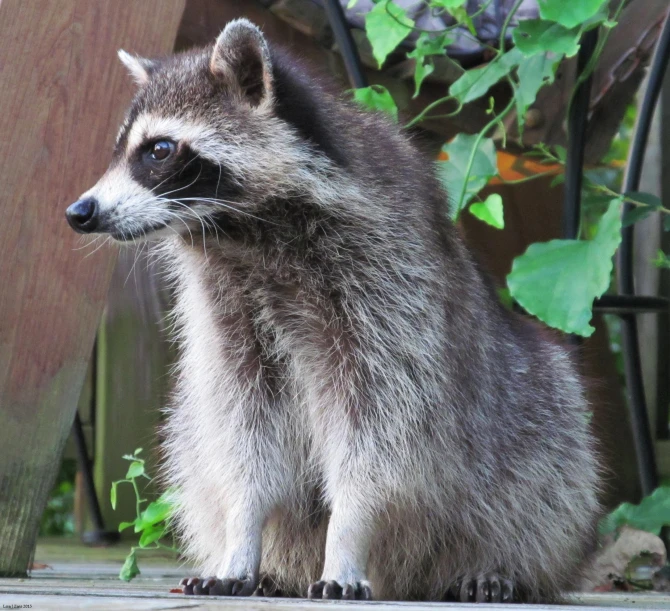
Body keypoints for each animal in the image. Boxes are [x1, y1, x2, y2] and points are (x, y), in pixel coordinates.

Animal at [67, 17, 604, 604]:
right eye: (121, 150)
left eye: (158, 150)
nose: (79, 212)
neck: (242, 231)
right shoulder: (227, 313)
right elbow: (239, 428)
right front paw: (241, 532)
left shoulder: (389, 289)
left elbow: (378, 431)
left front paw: (348, 534)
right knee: (195, 434)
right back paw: (276, 565)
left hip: (529, 409)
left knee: (541, 469)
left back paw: (499, 563)